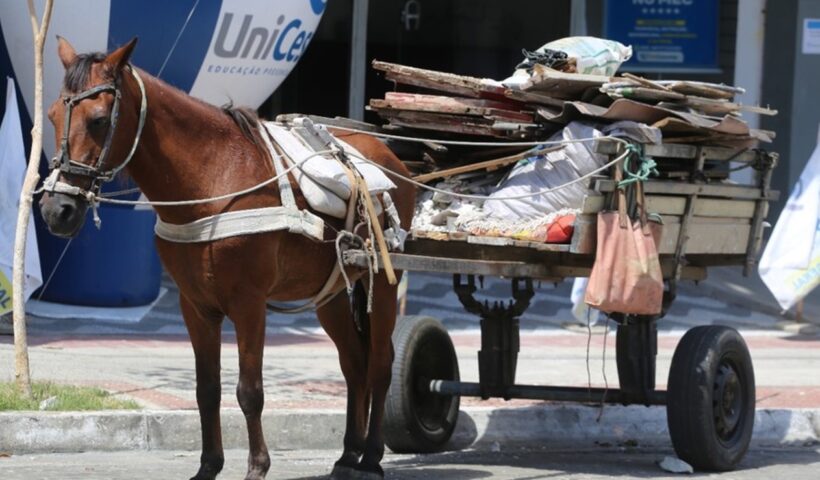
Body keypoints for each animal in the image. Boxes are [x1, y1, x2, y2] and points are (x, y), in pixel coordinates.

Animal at [39, 37, 416, 480]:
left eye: (98, 120)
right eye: (51, 115)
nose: (56, 210)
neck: (214, 178)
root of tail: (391, 159)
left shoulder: (249, 305)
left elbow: (249, 391)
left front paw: (257, 467)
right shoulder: (196, 306)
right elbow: (207, 390)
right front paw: (208, 466)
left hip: (385, 284)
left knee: (380, 363)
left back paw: (371, 456)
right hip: (334, 292)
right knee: (355, 363)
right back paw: (347, 455)